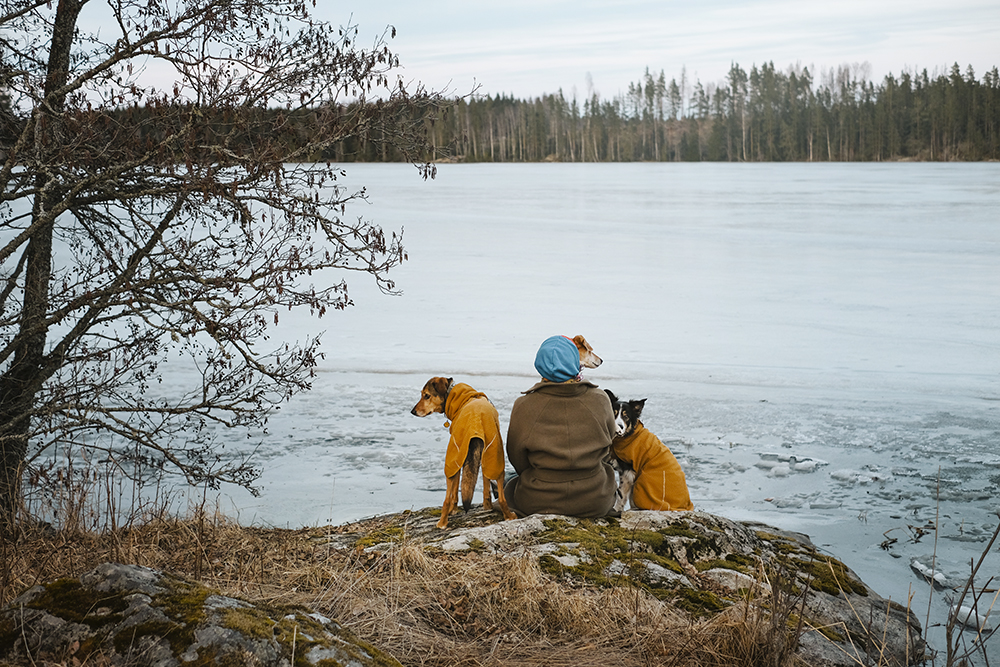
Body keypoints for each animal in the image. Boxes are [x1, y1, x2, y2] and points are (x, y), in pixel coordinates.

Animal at [410, 378, 516, 528]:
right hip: (495, 456)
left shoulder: (457, 459)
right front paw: (487, 506)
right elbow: (485, 484)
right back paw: (509, 516)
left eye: (426, 395)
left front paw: (453, 510)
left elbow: (454, 492)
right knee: (501, 495)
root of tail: (476, 424)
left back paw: (442, 523)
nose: (412, 411)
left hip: (452, 458)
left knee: (447, 498)